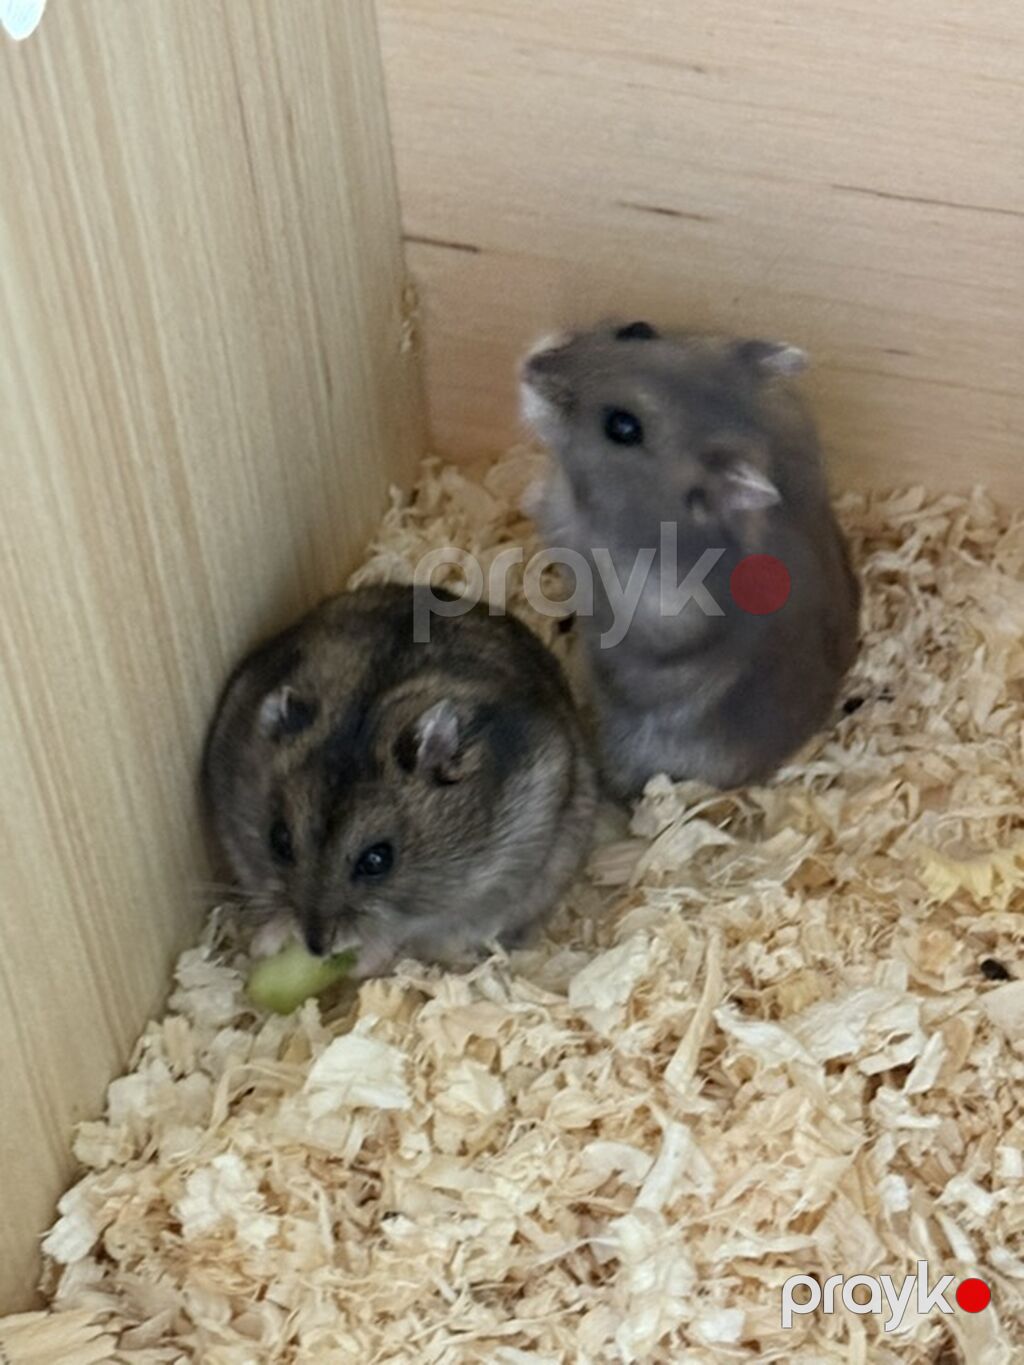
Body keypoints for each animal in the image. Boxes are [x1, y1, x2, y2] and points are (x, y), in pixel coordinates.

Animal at [201, 584, 597, 977]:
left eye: (377, 861)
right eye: (279, 841)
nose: (315, 947)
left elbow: (401, 930)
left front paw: (360, 965)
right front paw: (264, 944)